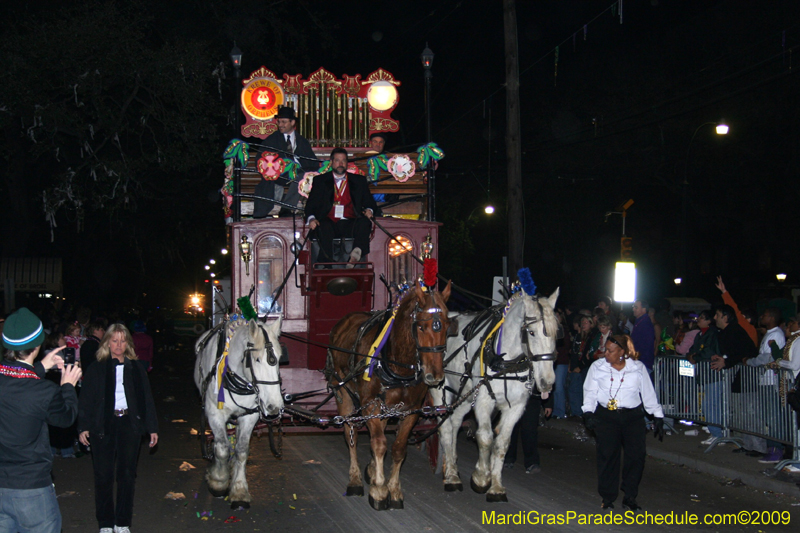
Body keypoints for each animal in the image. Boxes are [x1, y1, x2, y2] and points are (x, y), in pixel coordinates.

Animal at [195, 316, 284, 508]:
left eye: (280, 358)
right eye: (256, 359)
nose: (274, 407)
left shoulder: (250, 415)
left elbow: (242, 451)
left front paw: (239, 490)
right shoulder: (215, 414)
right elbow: (221, 448)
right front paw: (218, 482)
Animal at [324, 280, 450, 510]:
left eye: (447, 325)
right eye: (421, 326)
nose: (435, 375)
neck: (397, 364)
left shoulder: (411, 410)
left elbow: (398, 448)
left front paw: (394, 489)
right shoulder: (370, 404)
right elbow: (379, 444)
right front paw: (380, 491)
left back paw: (372, 470)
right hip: (343, 393)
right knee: (351, 434)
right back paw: (355, 480)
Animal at [432, 288, 556, 500]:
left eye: (556, 333)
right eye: (531, 332)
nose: (547, 383)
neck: (507, 361)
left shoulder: (516, 406)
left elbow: (502, 444)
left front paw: (496, 485)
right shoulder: (484, 400)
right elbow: (485, 437)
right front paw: (481, 477)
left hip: (466, 394)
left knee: (455, 422)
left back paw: (452, 465)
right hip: (438, 387)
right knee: (446, 427)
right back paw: (451, 477)